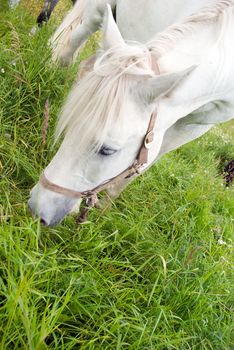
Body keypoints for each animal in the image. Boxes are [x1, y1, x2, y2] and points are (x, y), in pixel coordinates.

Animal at [28, 0, 234, 224]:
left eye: (107, 150)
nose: (37, 208)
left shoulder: (193, 125)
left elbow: (143, 165)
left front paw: (105, 207)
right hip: (97, 13)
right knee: (68, 50)